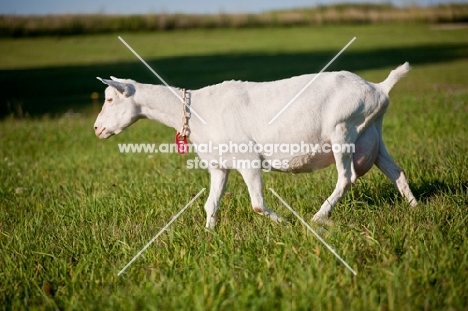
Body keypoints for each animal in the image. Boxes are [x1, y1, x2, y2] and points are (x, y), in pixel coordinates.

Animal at [93, 63, 414, 229]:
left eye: (109, 99)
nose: (97, 129)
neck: (196, 110)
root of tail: (379, 88)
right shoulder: (218, 166)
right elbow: (210, 203)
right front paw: (209, 233)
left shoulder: (248, 160)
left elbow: (257, 204)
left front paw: (285, 223)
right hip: (372, 135)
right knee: (396, 171)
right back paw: (415, 207)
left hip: (343, 130)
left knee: (346, 177)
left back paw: (319, 216)